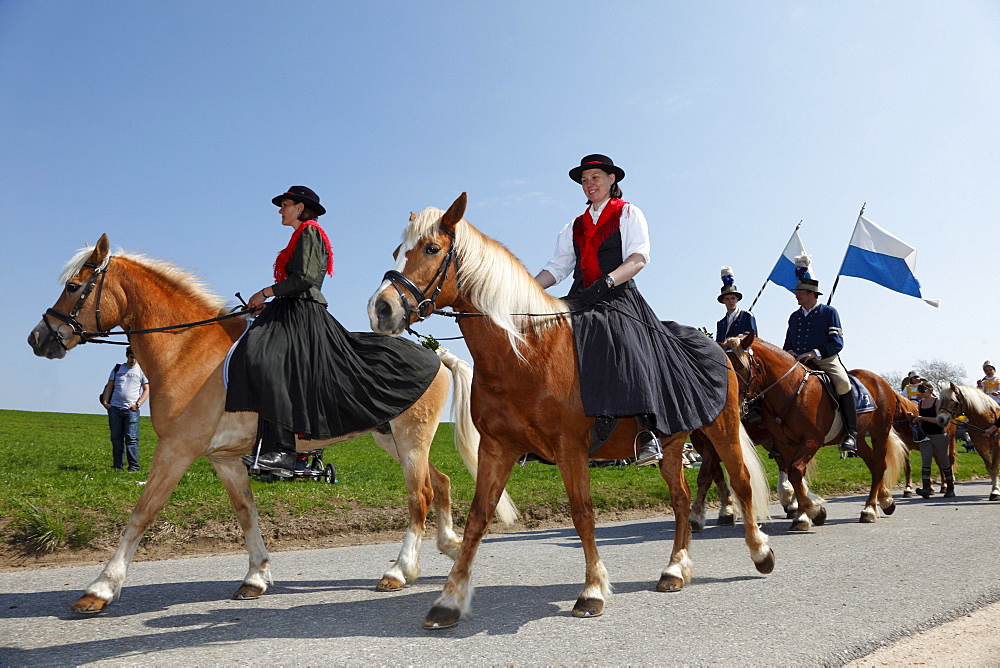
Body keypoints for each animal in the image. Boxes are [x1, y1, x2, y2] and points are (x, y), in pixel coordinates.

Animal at [29, 232, 516, 612]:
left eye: (73, 286)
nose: (38, 338)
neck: (188, 350)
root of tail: (437, 351)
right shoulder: (223, 458)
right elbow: (246, 513)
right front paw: (256, 577)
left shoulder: (177, 450)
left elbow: (142, 512)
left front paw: (100, 589)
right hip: (392, 439)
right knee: (443, 482)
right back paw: (450, 546)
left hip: (411, 438)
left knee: (421, 495)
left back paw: (399, 571)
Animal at [368, 194, 772, 632]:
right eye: (397, 250)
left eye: (431, 248)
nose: (380, 309)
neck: (527, 352)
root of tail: (719, 347)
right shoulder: (497, 449)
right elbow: (477, 518)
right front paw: (449, 599)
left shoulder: (570, 449)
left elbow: (582, 514)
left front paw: (592, 590)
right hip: (672, 442)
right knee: (680, 500)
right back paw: (674, 570)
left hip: (722, 428)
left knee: (741, 481)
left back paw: (760, 552)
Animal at [724, 332, 912, 528]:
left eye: (739, 366)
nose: (732, 403)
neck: (792, 389)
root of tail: (881, 381)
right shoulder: (784, 443)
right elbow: (795, 475)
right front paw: (803, 514)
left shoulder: (811, 439)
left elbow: (795, 472)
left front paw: (811, 511)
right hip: (859, 438)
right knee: (873, 464)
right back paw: (885, 501)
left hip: (879, 433)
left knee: (879, 465)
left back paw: (869, 509)